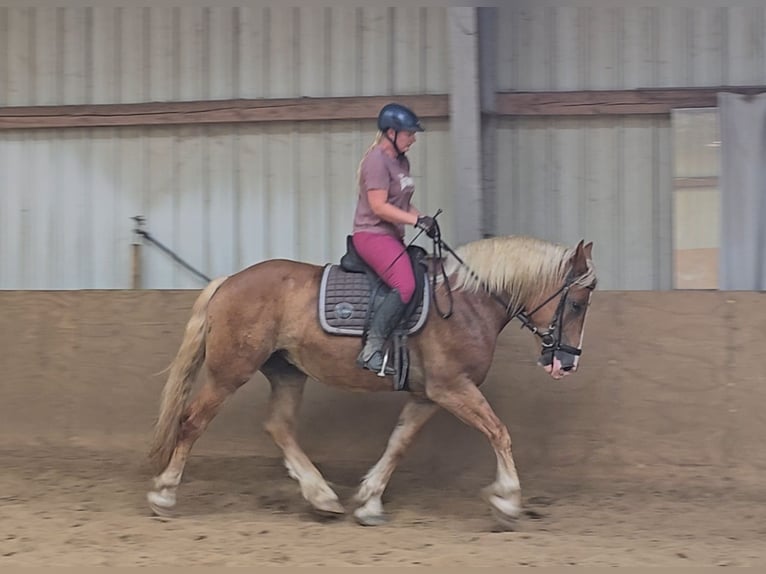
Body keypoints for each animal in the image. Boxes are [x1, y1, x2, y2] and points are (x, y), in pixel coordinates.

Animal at [147, 235, 596, 532]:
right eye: (576, 303)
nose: (567, 363)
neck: (468, 302)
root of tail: (229, 281)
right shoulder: (453, 388)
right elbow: (499, 432)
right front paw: (507, 500)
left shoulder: (429, 396)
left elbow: (399, 443)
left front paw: (368, 502)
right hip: (229, 372)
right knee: (192, 422)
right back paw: (164, 493)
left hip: (287, 371)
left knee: (278, 426)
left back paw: (321, 496)